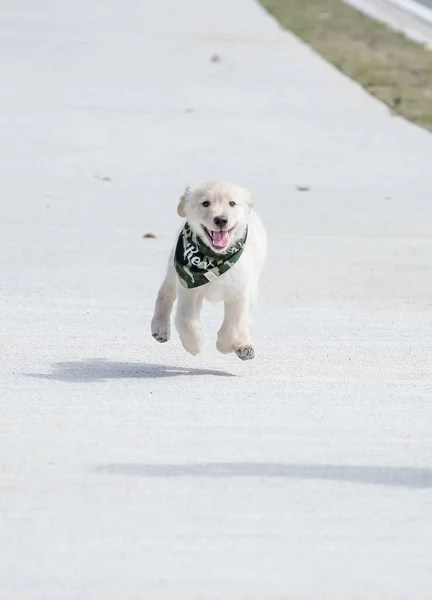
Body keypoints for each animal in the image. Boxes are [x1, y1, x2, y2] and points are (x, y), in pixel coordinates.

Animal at [151, 179, 266, 360]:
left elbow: (234, 324)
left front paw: (225, 346)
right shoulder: (188, 287)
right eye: (205, 203)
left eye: (232, 203)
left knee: (245, 319)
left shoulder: (239, 290)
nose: (221, 220)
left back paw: (244, 346)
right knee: (165, 292)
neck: (213, 258)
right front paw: (193, 345)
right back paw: (160, 328)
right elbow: (185, 320)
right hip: (173, 271)